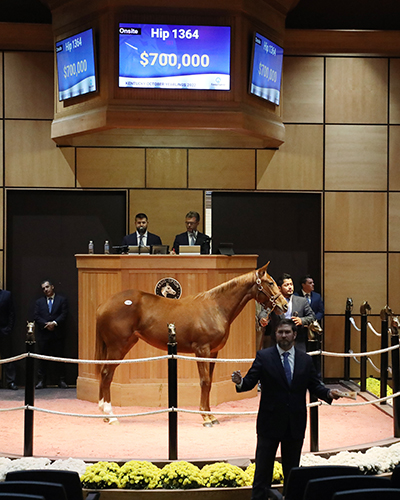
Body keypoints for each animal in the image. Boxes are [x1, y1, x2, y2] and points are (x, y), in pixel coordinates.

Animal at [95, 262, 286, 426]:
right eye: (270, 282)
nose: (284, 305)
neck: (216, 307)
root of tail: (103, 306)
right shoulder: (202, 350)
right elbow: (205, 381)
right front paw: (205, 418)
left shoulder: (213, 353)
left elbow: (209, 383)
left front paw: (211, 415)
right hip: (118, 347)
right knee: (106, 374)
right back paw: (111, 415)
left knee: (104, 374)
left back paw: (104, 414)